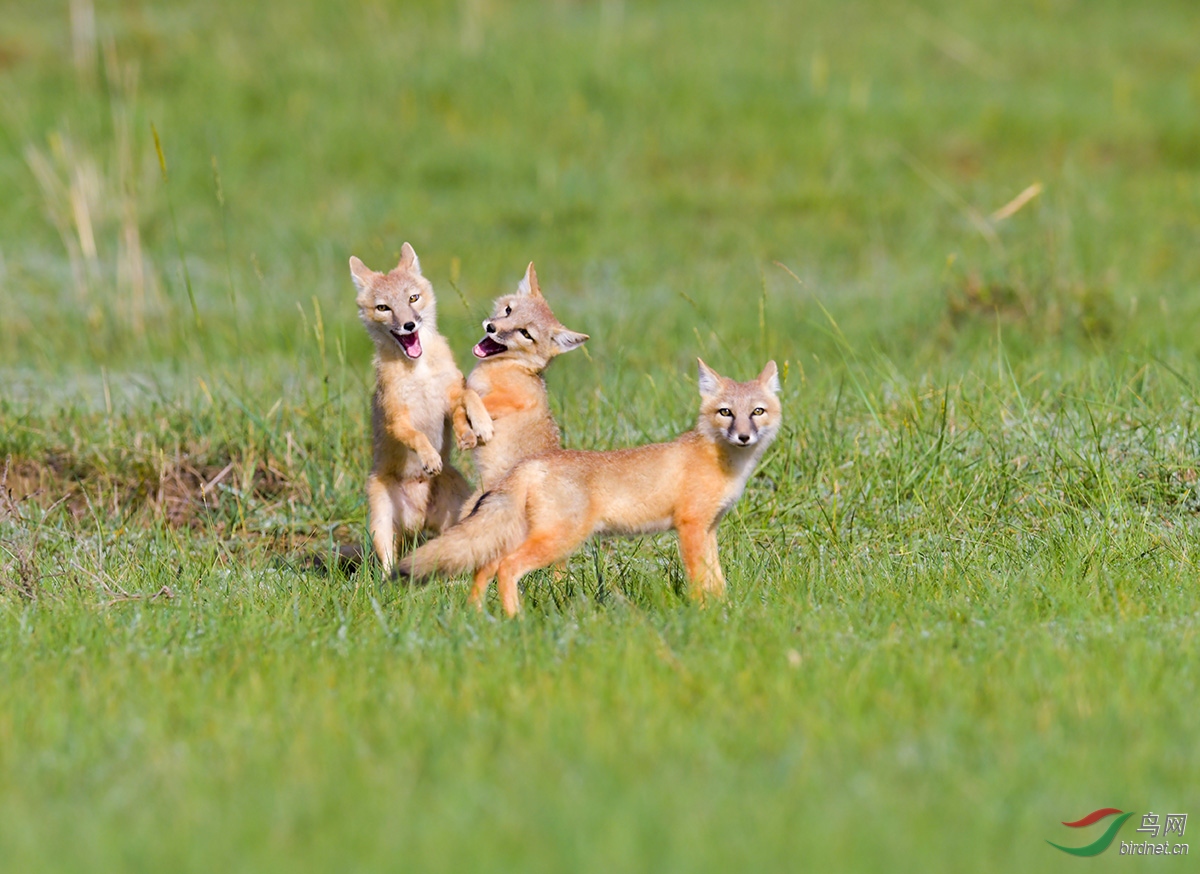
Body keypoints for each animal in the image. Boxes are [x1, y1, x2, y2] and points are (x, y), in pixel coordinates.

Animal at [398, 357, 782, 619]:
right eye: (726, 413)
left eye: (757, 412)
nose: (744, 437)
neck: (723, 464)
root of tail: (530, 464)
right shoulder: (690, 527)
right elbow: (699, 579)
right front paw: (702, 613)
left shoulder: (709, 528)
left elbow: (718, 580)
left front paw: (725, 610)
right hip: (558, 539)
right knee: (506, 567)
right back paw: (516, 620)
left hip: (522, 535)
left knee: (485, 568)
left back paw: (480, 617)